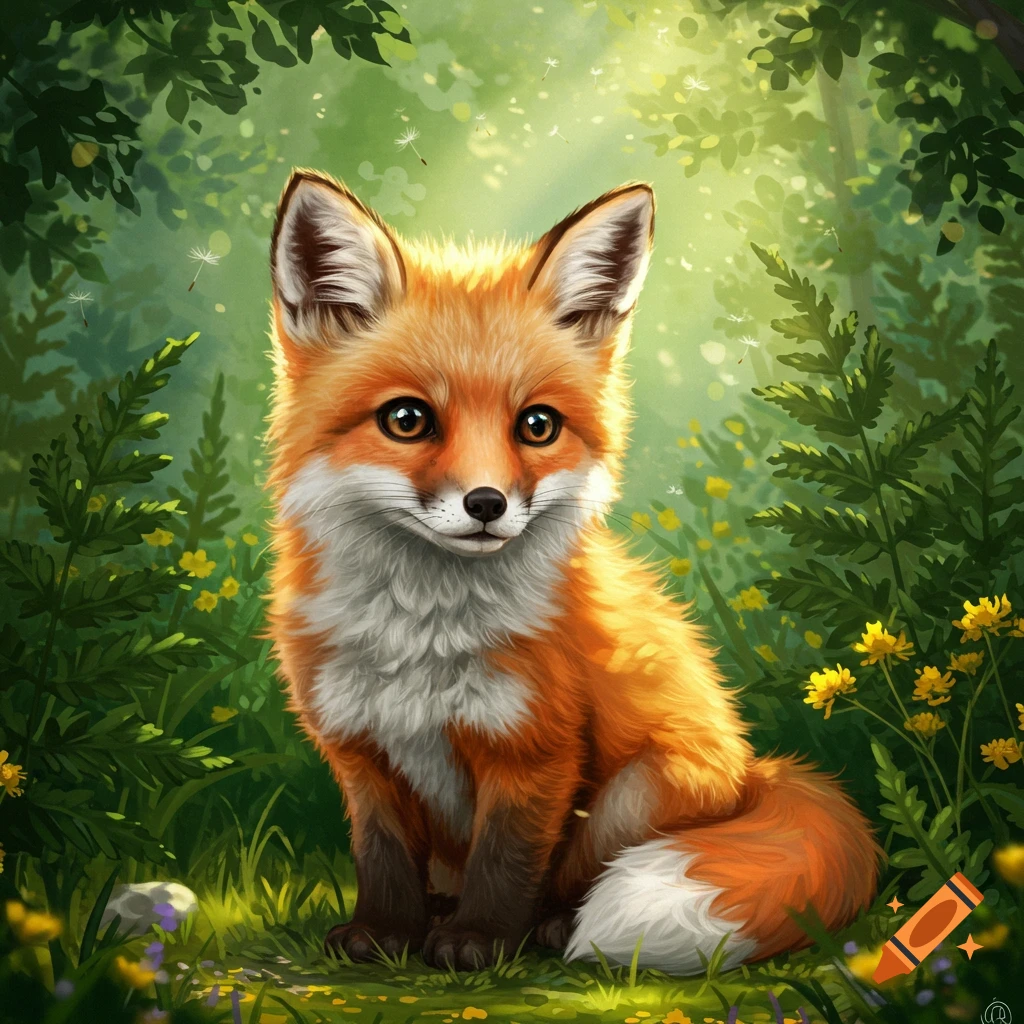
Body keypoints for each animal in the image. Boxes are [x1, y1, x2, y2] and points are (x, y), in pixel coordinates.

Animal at [264, 169, 881, 975]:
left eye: (537, 426)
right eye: (406, 420)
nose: (487, 504)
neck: (421, 636)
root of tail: (755, 771)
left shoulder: (537, 749)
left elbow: (506, 860)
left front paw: (479, 940)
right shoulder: (360, 749)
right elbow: (383, 855)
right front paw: (384, 932)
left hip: (636, 791)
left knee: (578, 874)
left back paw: (552, 927)